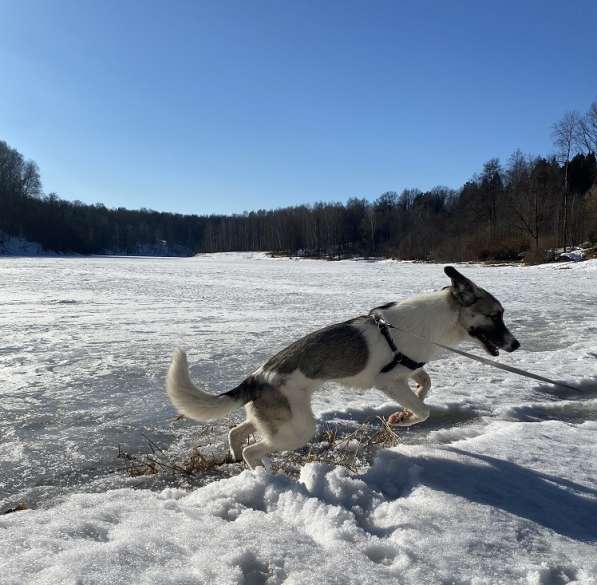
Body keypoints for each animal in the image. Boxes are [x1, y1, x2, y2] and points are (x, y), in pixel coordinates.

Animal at [166, 266, 516, 468]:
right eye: (495, 315)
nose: (516, 345)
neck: (435, 319)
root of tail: (256, 377)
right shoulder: (389, 382)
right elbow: (424, 410)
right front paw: (403, 419)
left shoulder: (408, 369)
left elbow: (425, 384)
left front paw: (406, 410)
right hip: (298, 429)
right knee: (255, 452)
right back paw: (267, 476)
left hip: (273, 420)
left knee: (237, 434)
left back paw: (238, 458)